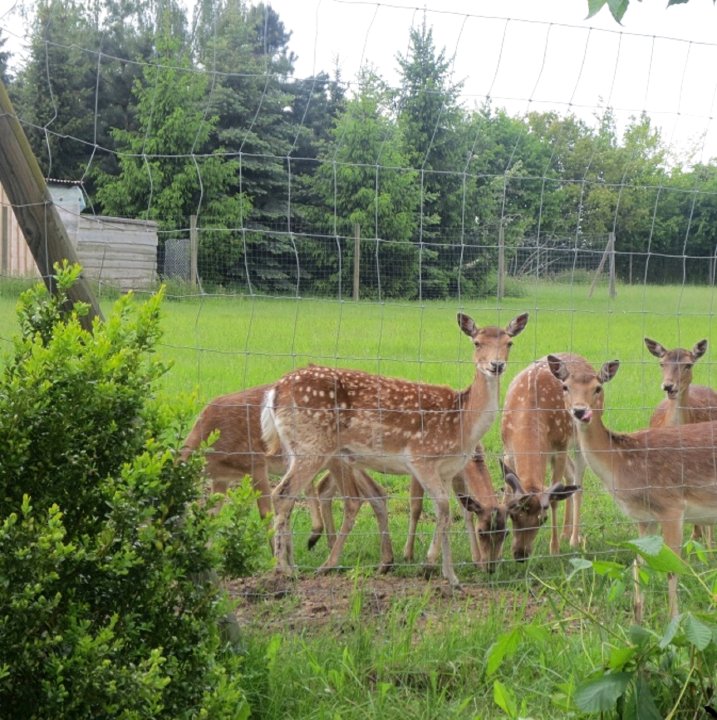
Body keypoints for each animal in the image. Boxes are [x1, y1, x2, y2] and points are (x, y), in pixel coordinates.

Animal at [179, 380, 392, 572]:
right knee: (375, 492)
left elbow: (266, 513)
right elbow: (210, 517)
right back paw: (383, 561)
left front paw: (279, 560)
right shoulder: (221, 479)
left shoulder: (256, 464)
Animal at [260, 312, 528, 588]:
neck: (463, 423)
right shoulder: (421, 457)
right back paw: (283, 569)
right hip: (312, 446)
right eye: (476, 342)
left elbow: (447, 512)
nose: (496, 365)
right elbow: (442, 509)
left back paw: (292, 564)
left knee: (291, 496)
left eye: (509, 343)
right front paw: (439, 571)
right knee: (282, 494)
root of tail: (275, 390)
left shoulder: (447, 470)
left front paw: (444, 573)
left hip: (300, 449)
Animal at [500, 354, 584, 564]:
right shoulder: (507, 450)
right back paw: (565, 532)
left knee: (578, 484)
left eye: (542, 519)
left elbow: (554, 500)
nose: (520, 555)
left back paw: (573, 538)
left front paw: (554, 550)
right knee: (570, 476)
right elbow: (505, 493)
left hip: (580, 438)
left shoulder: (559, 447)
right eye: (512, 515)